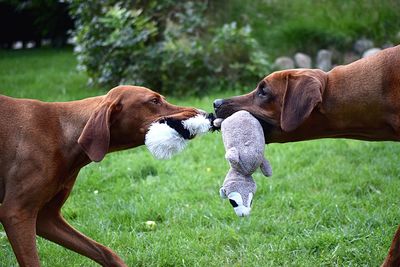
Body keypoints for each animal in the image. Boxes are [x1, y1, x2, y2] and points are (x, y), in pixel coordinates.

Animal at [0, 85, 202, 266]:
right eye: (154, 101)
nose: (203, 112)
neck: (63, 134)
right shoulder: (16, 214)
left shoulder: (46, 218)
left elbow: (105, 252)